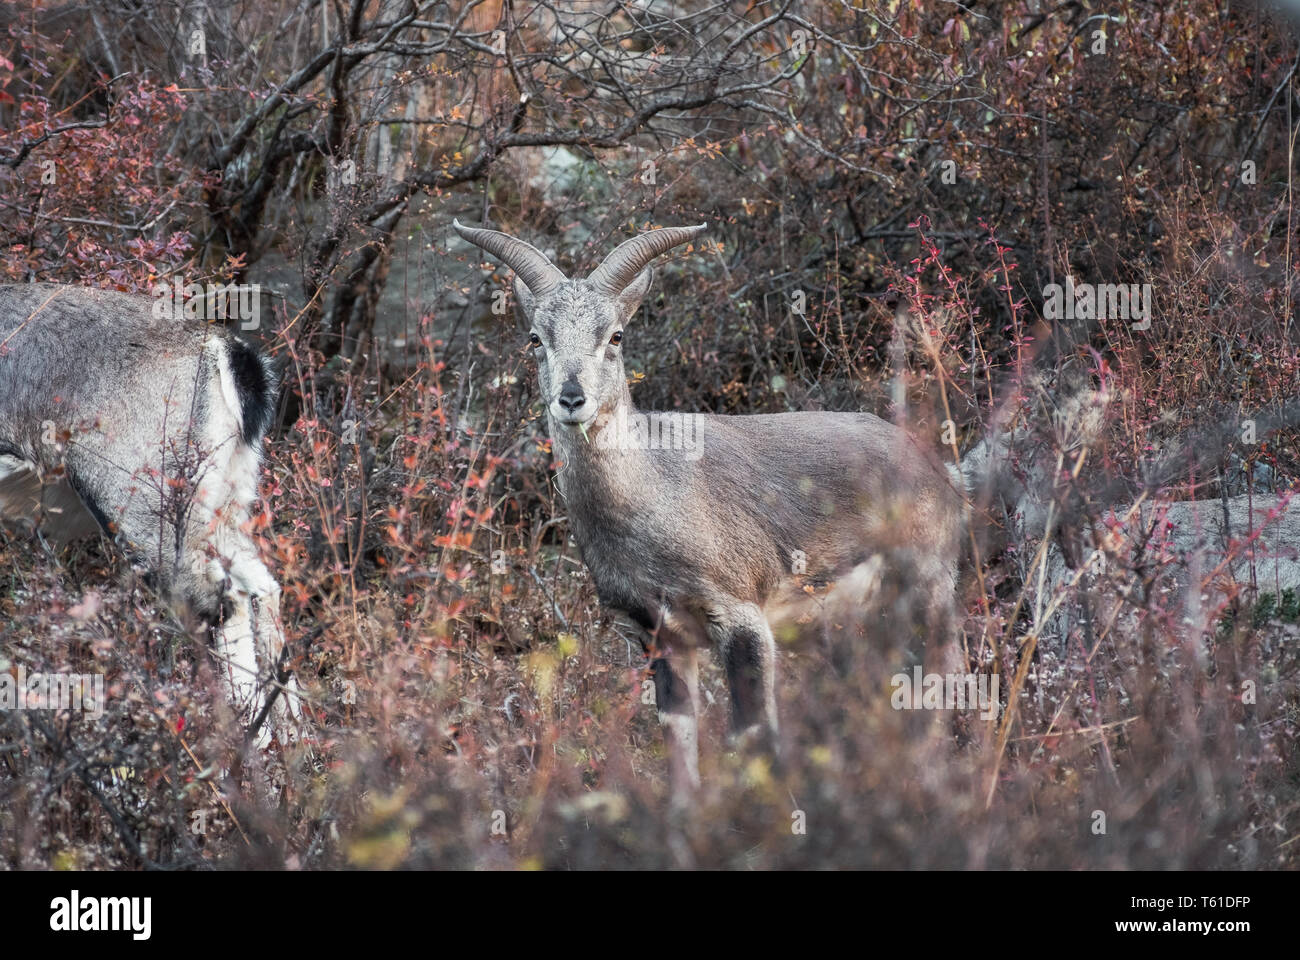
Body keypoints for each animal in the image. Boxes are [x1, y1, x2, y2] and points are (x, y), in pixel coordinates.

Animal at [453, 220, 968, 794]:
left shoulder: (741, 617)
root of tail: (937, 470)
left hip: (928, 584)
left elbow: (754, 736)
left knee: (940, 680)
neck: (654, 499)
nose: (571, 399)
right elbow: (678, 740)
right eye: (536, 338)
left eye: (616, 335)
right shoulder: (657, 636)